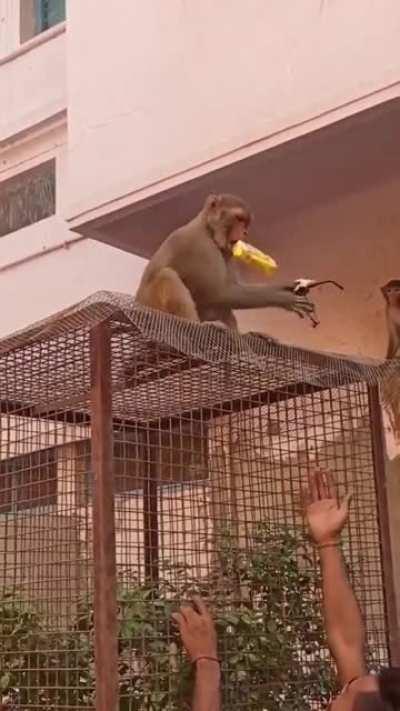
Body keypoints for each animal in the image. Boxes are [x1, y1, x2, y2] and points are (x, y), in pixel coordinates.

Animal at [135, 194, 315, 329]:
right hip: (154, 309)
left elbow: (232, 287)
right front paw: (285, 299)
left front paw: (289, 287)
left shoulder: (227, 251)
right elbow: (220, 292)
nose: (245, 232)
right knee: (167, 276)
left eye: (246, 222)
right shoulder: (199, 245)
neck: (207, 228)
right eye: (239, 218)